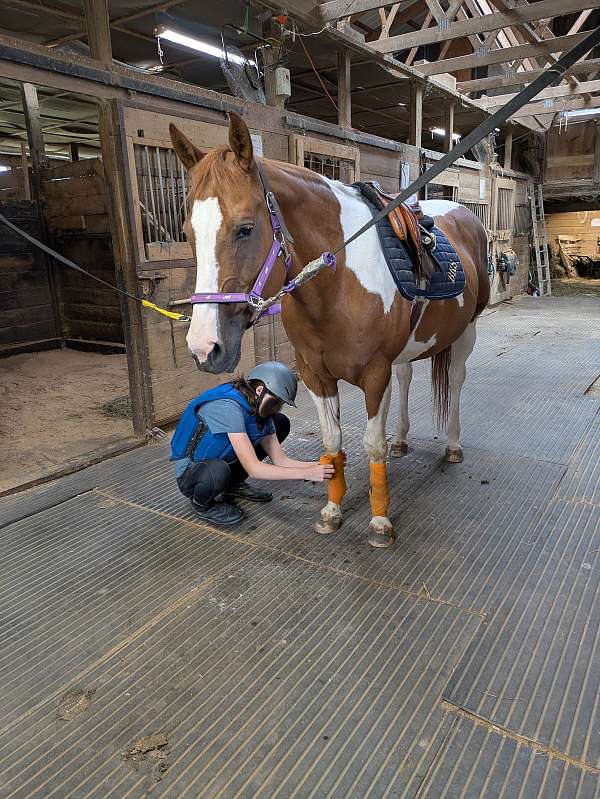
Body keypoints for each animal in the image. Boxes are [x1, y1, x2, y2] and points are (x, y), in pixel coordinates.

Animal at [170, 112, 489, 548]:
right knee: (407, 377)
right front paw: (331, 511)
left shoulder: (374, 374)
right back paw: (403, 439)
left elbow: (373, 446)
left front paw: (379, 522)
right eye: (188, 231)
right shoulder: (315, 375)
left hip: (466, 332)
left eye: (245, 228)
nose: (205, 348)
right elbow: (332, 443)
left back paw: (453, 446)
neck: (337, 284)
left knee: (456, 381)